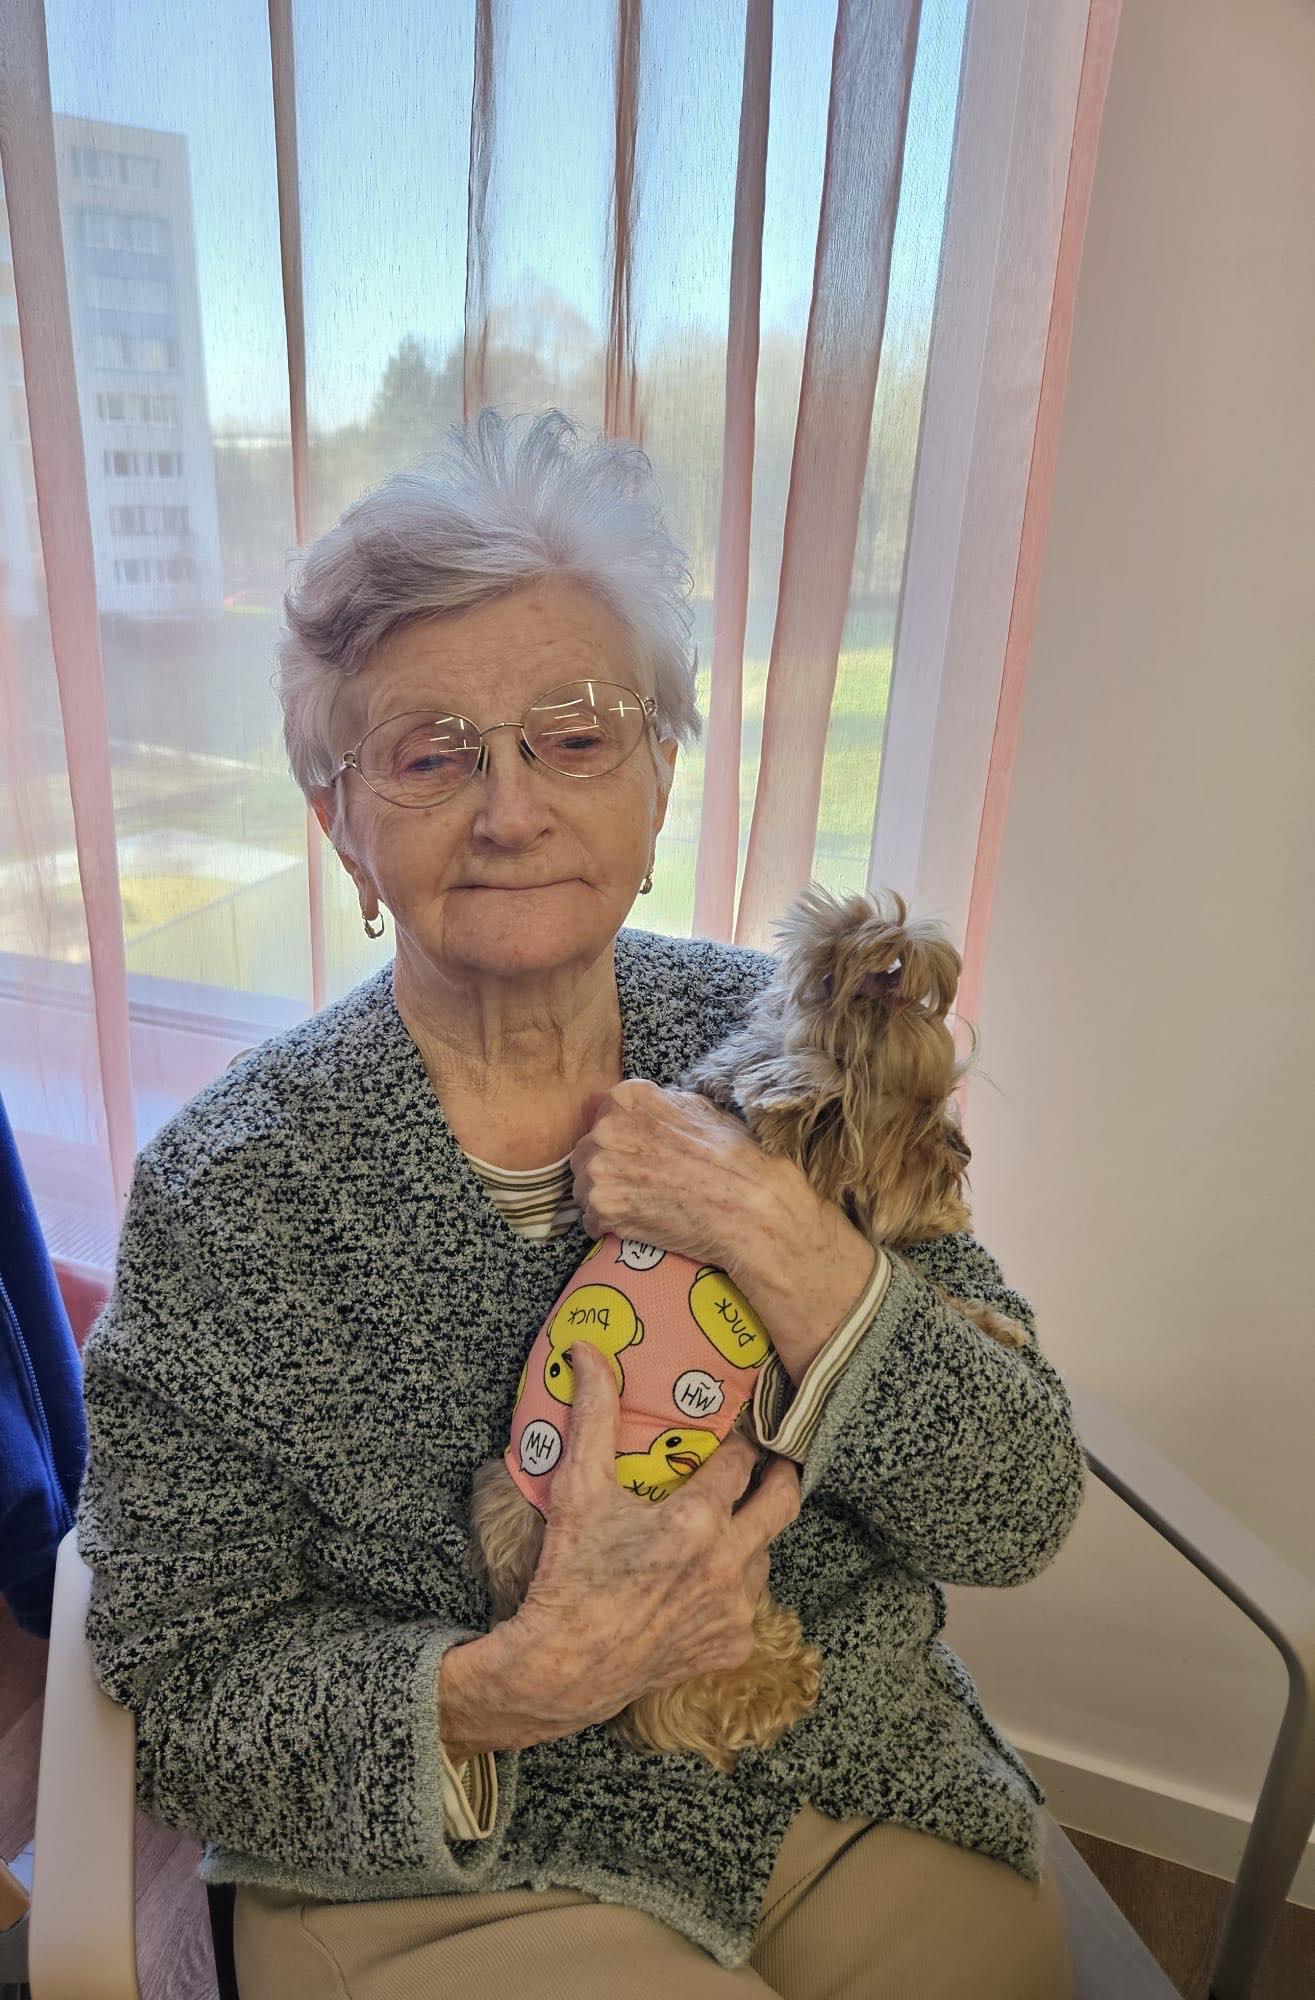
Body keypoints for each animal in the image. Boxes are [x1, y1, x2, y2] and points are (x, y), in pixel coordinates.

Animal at [466, 882, 1029, 1774]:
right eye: (918, 1122)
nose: (961, 1152)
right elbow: (910, 1272)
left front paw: (990, 1320)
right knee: (683, 1696)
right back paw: (779, 1680)